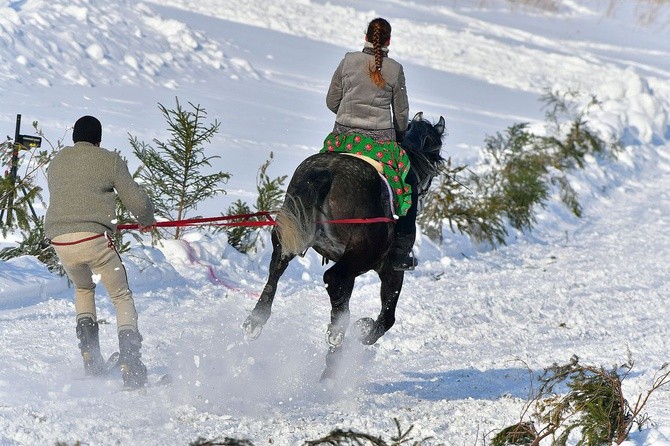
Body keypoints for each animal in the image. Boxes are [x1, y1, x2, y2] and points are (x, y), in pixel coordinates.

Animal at [242, 112, 446, 380]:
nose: (423, 192)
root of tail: (325, 173)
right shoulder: (390, 270)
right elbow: (387, 316)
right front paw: (363, 330)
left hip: (290, 235)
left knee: (278, 270)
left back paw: (256, 323)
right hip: (361, 255)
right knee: (333, 278)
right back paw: (336, 343)